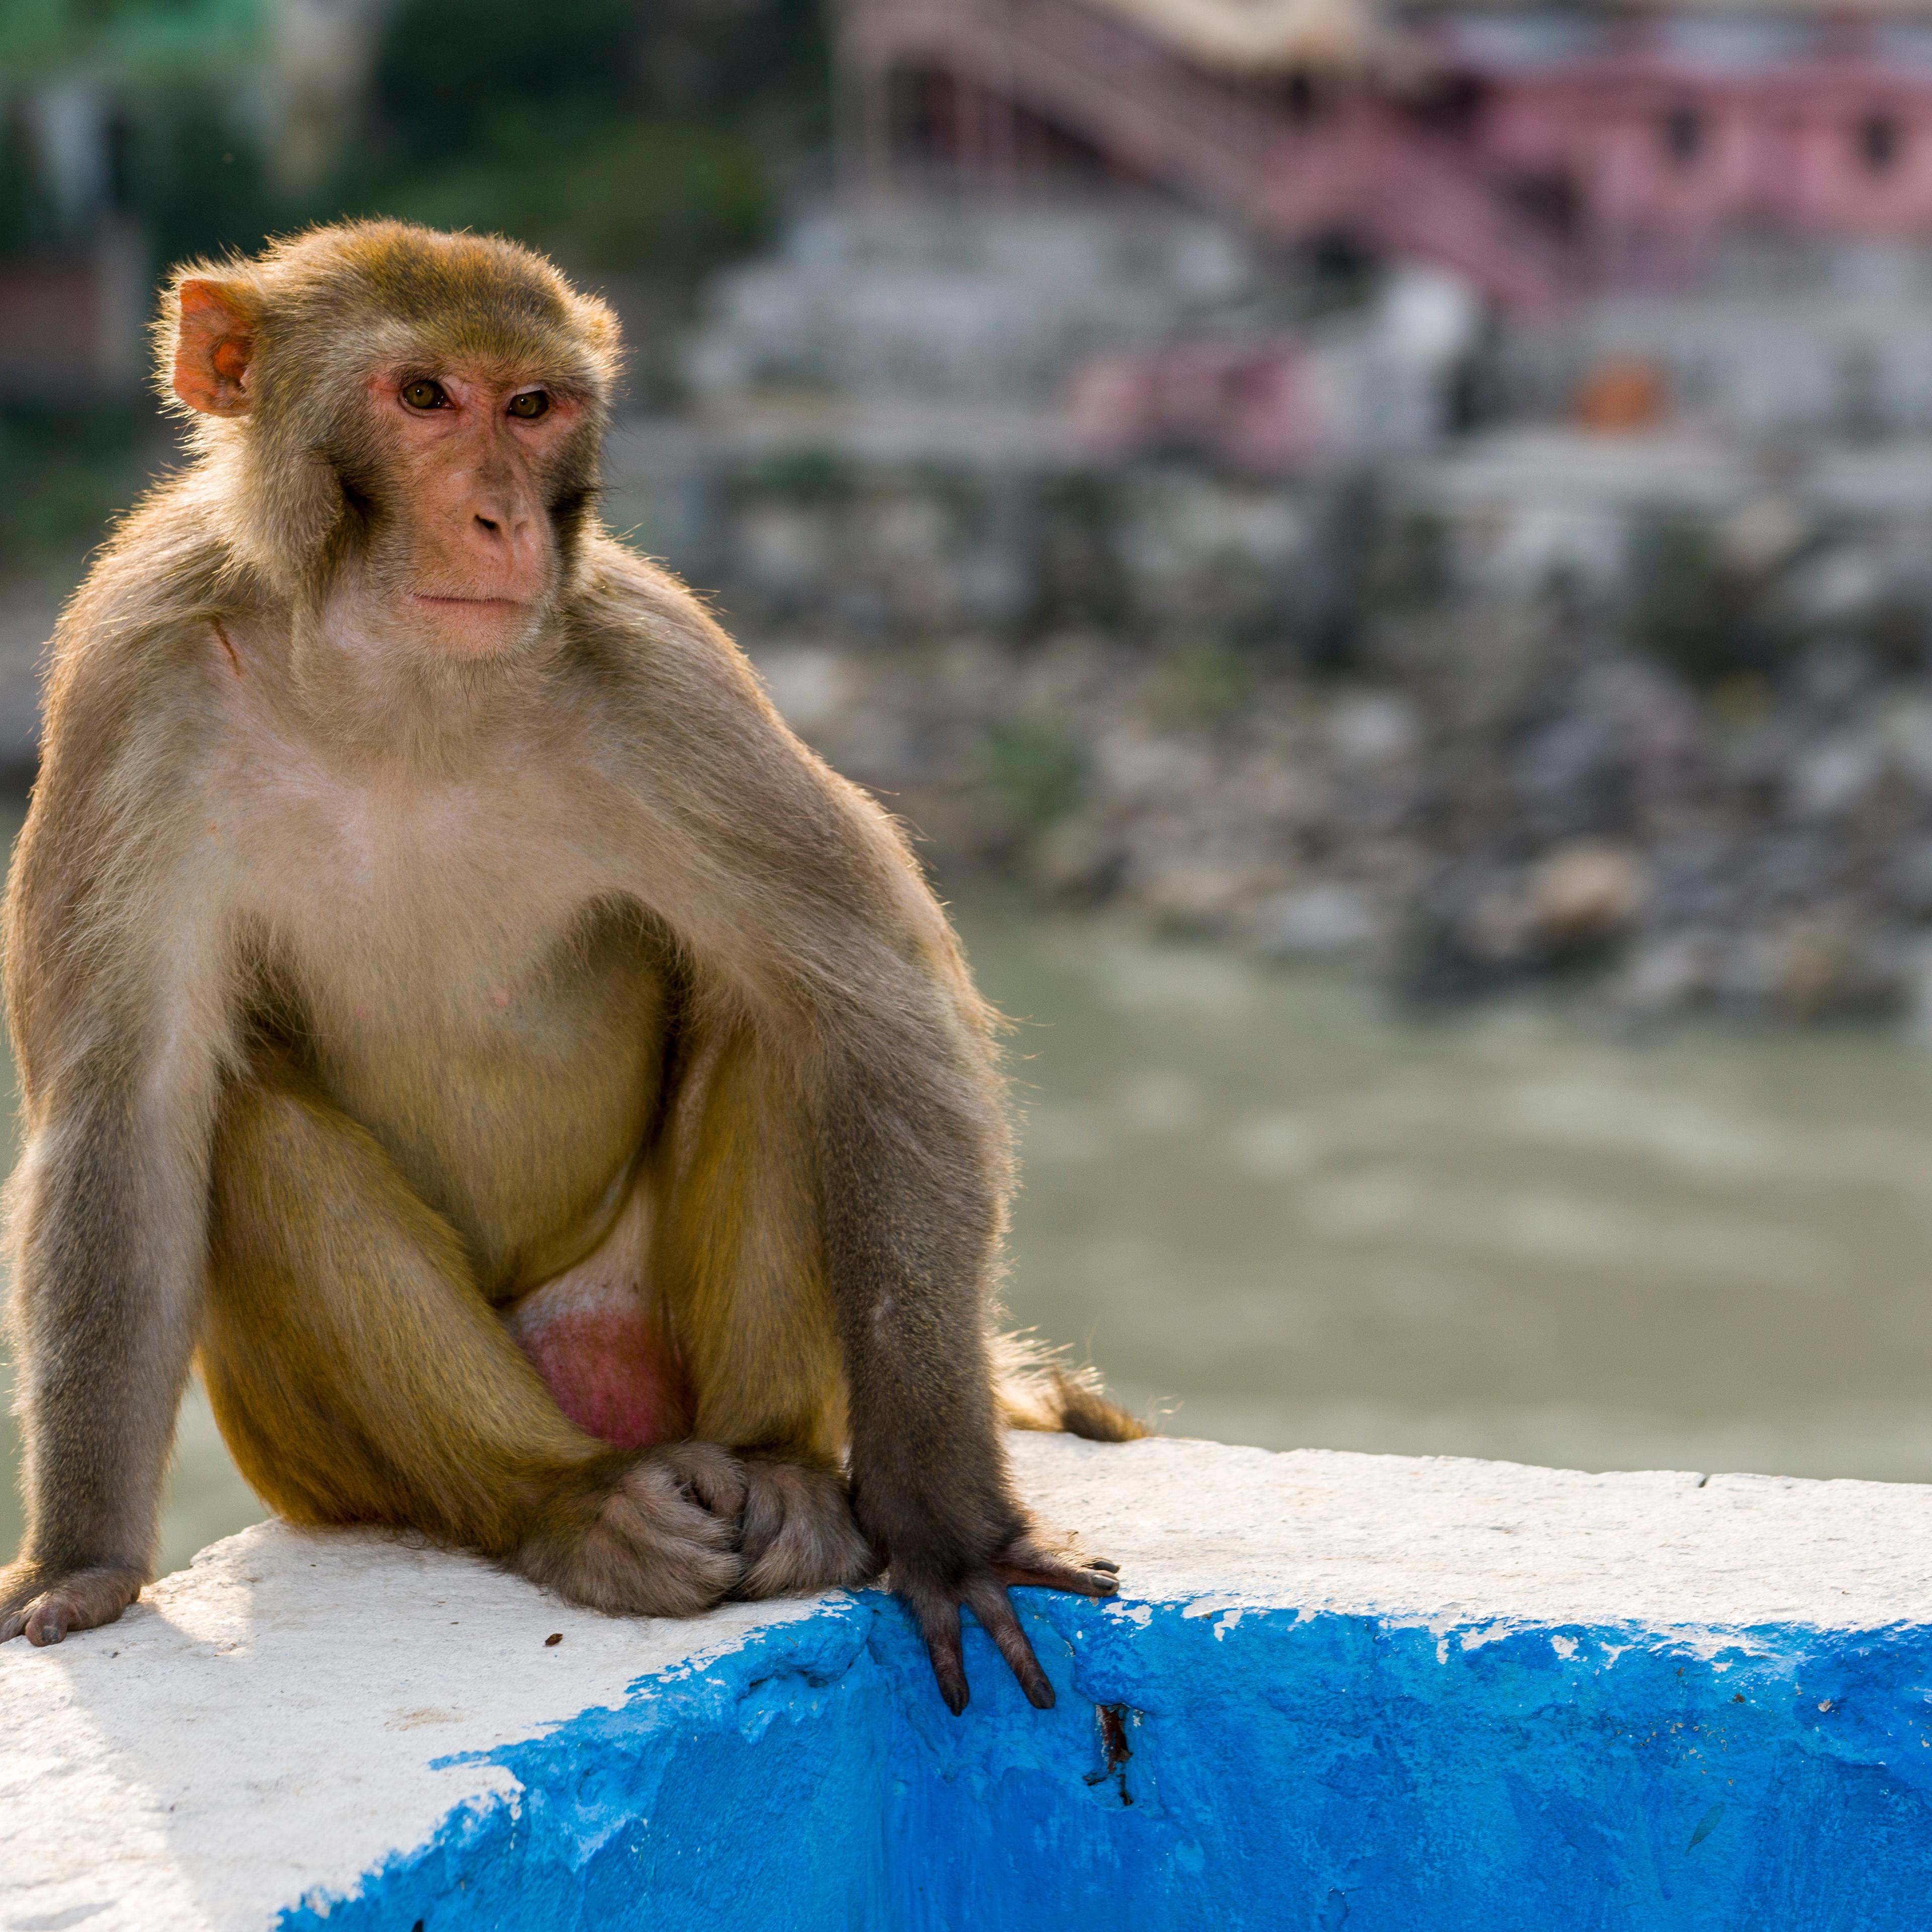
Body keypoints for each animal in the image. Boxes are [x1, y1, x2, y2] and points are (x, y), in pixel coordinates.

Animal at [0, 221, 1144, 1713]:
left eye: (532, 406)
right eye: (424, 397)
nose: (504, 519)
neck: (396, 682)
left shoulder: (665, 668)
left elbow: (880, 1015)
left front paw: (945, 1525)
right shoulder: (133, 669)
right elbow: (122, 1114)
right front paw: (79, 1562)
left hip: (643, 1331)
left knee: (787, 1023)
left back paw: (779, 1475)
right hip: (330, 1463)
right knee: (247, 1129)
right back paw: (564, 1501)